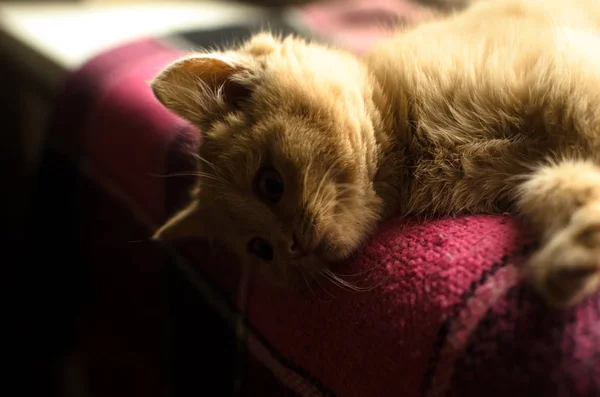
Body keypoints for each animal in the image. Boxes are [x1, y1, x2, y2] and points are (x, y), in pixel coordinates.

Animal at [154, 0, 600, 308]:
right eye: (261, 249)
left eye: (270, 185)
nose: (293, 246)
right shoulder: (533, 171)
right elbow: (558, 189)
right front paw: (574, 257)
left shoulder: (573, 84)